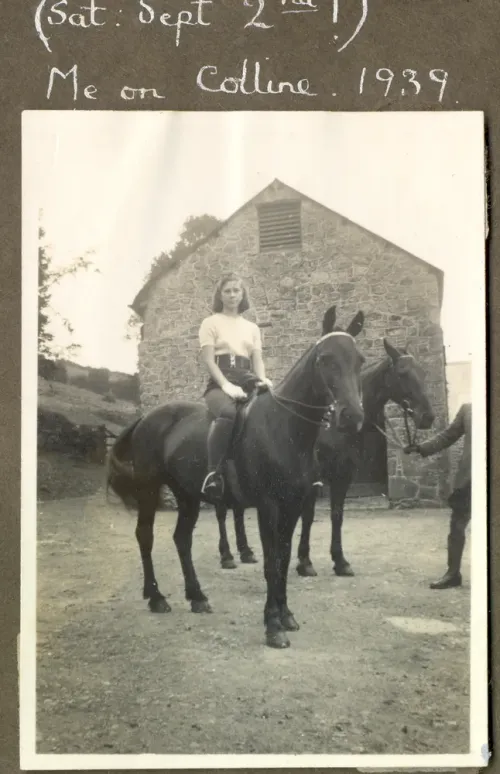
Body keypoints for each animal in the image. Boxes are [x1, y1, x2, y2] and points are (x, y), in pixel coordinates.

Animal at [106, 306, 364, 652]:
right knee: (145, 536)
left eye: (359, 360)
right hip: (149, 490)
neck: (284, 428)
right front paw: (273, 626)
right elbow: (270, 562)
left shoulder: (293, 506)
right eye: (325, 359)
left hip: (187, 496)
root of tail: (146, 418)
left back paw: (197, 597)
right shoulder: (268, 507)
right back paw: (156, 597)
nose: (352, 417)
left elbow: (283, 560)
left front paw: (286, 615)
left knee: (181, 539)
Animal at [217, 340, 436, 576]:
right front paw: (305, 561)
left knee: (237, 510)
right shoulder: (314, 481)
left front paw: (340, 561)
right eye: (403, 373)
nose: (428, 416)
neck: (330, 430)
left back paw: (245, 552)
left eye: (423, 372)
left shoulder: (342, 477)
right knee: (222, 512)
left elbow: (336, 515)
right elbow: (309, 516)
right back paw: (227, 555)